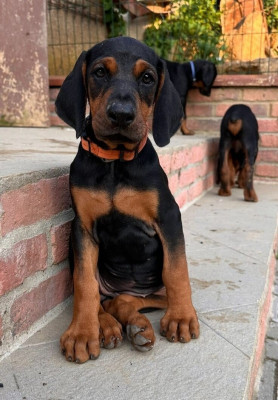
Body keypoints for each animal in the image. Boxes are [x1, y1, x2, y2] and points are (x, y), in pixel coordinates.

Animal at [56, 36, 200, 364]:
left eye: (147, 78)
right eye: (99, 72)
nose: (121, 114)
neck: (115, 161)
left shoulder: (169, 217)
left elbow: (177, 270)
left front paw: (182, 318)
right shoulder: (82, 227)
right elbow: (84, 283)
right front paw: (82, 333)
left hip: (153, 290)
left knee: (131, 299)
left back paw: (137, 325)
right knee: (106, 298)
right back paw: (110, 326)